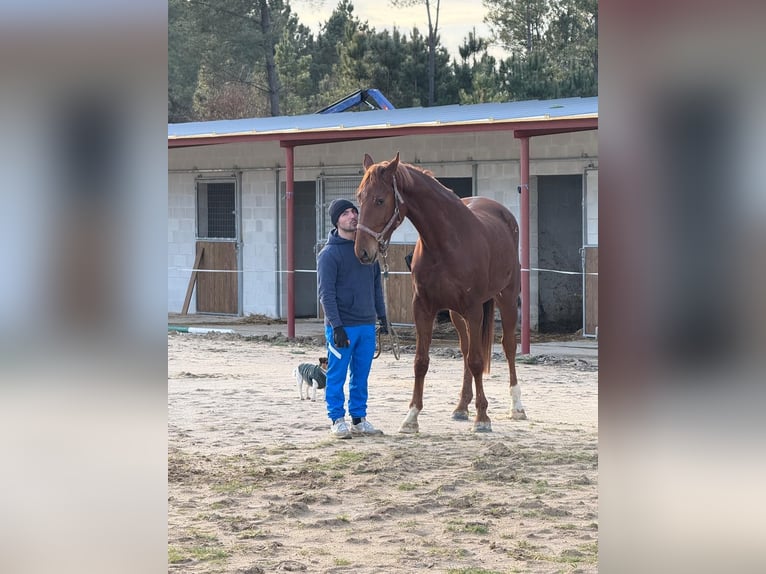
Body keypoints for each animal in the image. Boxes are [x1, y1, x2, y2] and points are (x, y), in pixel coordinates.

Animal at [356, 151, 528, 434]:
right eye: (359, 197)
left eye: (380, 200)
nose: (362, 251)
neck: (445, 242)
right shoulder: (423, 308)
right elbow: (421, 361)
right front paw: (411, 417)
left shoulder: (473, 308)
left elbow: (478, 361)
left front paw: (483, 418)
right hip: (457, 314)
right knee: (466, 348)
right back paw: (461, 407)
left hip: (506, 298)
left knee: (508, 347)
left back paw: (517, 407)